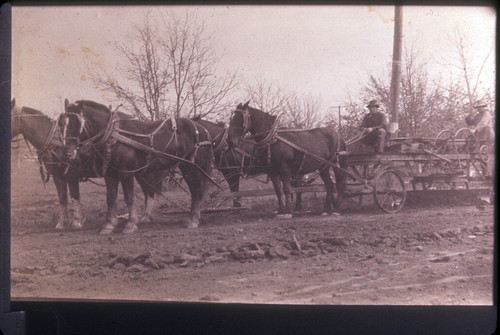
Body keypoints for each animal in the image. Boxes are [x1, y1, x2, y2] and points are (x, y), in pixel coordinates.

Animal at [60, 99, 213, 234]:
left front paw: (130, 224)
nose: (67, 153)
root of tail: (202, 129)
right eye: (61, 125)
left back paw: (193, 220)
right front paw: (109, 225)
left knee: (196, 190)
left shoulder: (126, 172)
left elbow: (129, 198)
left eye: (77, 123)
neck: (113, 135)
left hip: (191, 166)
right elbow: (111, 198)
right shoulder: (110, 174)